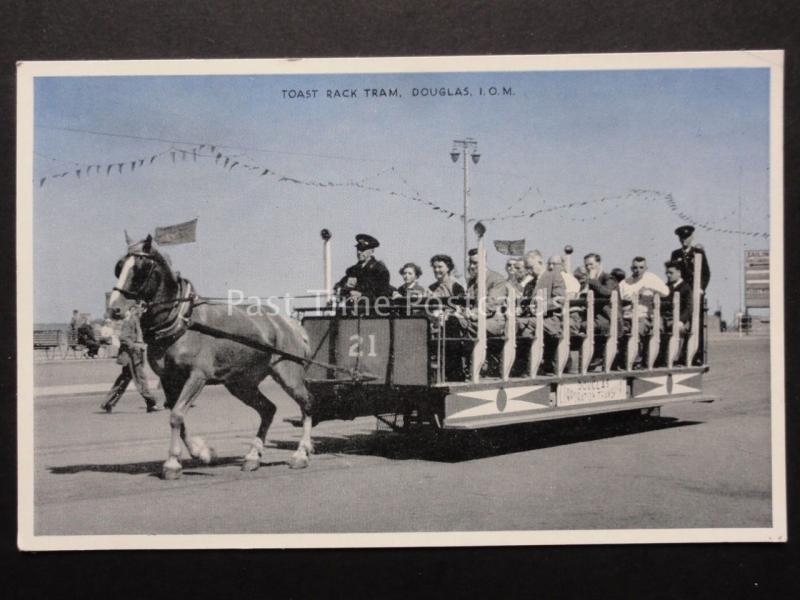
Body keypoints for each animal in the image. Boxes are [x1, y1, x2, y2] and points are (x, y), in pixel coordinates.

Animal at [108, 233, 314, 478]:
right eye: (119, 267)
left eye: (140, 269)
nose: (114, 308)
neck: (182, 322)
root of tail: (290, 323)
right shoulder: (168, 379)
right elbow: (178, 417)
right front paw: (203, 453)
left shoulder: (198, 376)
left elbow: (176, 415)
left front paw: (172, 463)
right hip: (240, 383)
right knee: (268, 410)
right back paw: (252, 457)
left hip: (288, 374)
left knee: (307, 404)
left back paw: (301, 454)